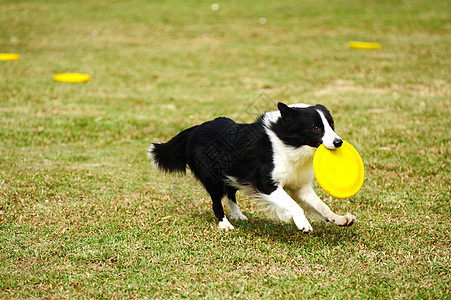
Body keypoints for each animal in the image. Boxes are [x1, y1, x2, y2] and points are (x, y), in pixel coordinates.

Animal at [148, 102, 356, 233]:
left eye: (331, 124)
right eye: (315, 128)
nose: (338, 142)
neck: (287, 142)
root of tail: (195, 129)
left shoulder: (300, 186)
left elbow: (321, 205)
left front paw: (338, 219)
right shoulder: (266, 183)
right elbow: (293, 204)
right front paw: (302, 223)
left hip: (233, 172)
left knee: (230, 193)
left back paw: (237, 215)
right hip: (213, 177)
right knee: (216, 201)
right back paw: (225, 224)